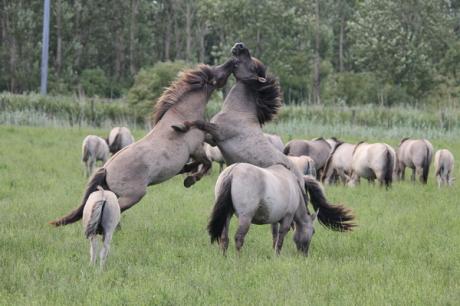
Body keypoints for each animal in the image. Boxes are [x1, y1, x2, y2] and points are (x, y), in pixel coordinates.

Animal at [49, 59, 234, 227]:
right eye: (216, 72)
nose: (231, 62)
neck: (181, 115)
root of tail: (106, 169)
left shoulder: (196, 151)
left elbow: (197, 164)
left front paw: (186, 171)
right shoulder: (196, 149)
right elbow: (206, 164)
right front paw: (190, 180)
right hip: (132, 196)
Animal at [172, 41, 356, 231]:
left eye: (252, 64)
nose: (240, 45)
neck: (238, 112)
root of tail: (303, 178)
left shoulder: (218, 132)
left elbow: (199, 123)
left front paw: (180, 127)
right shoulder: (213, 140)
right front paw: (188, 171)